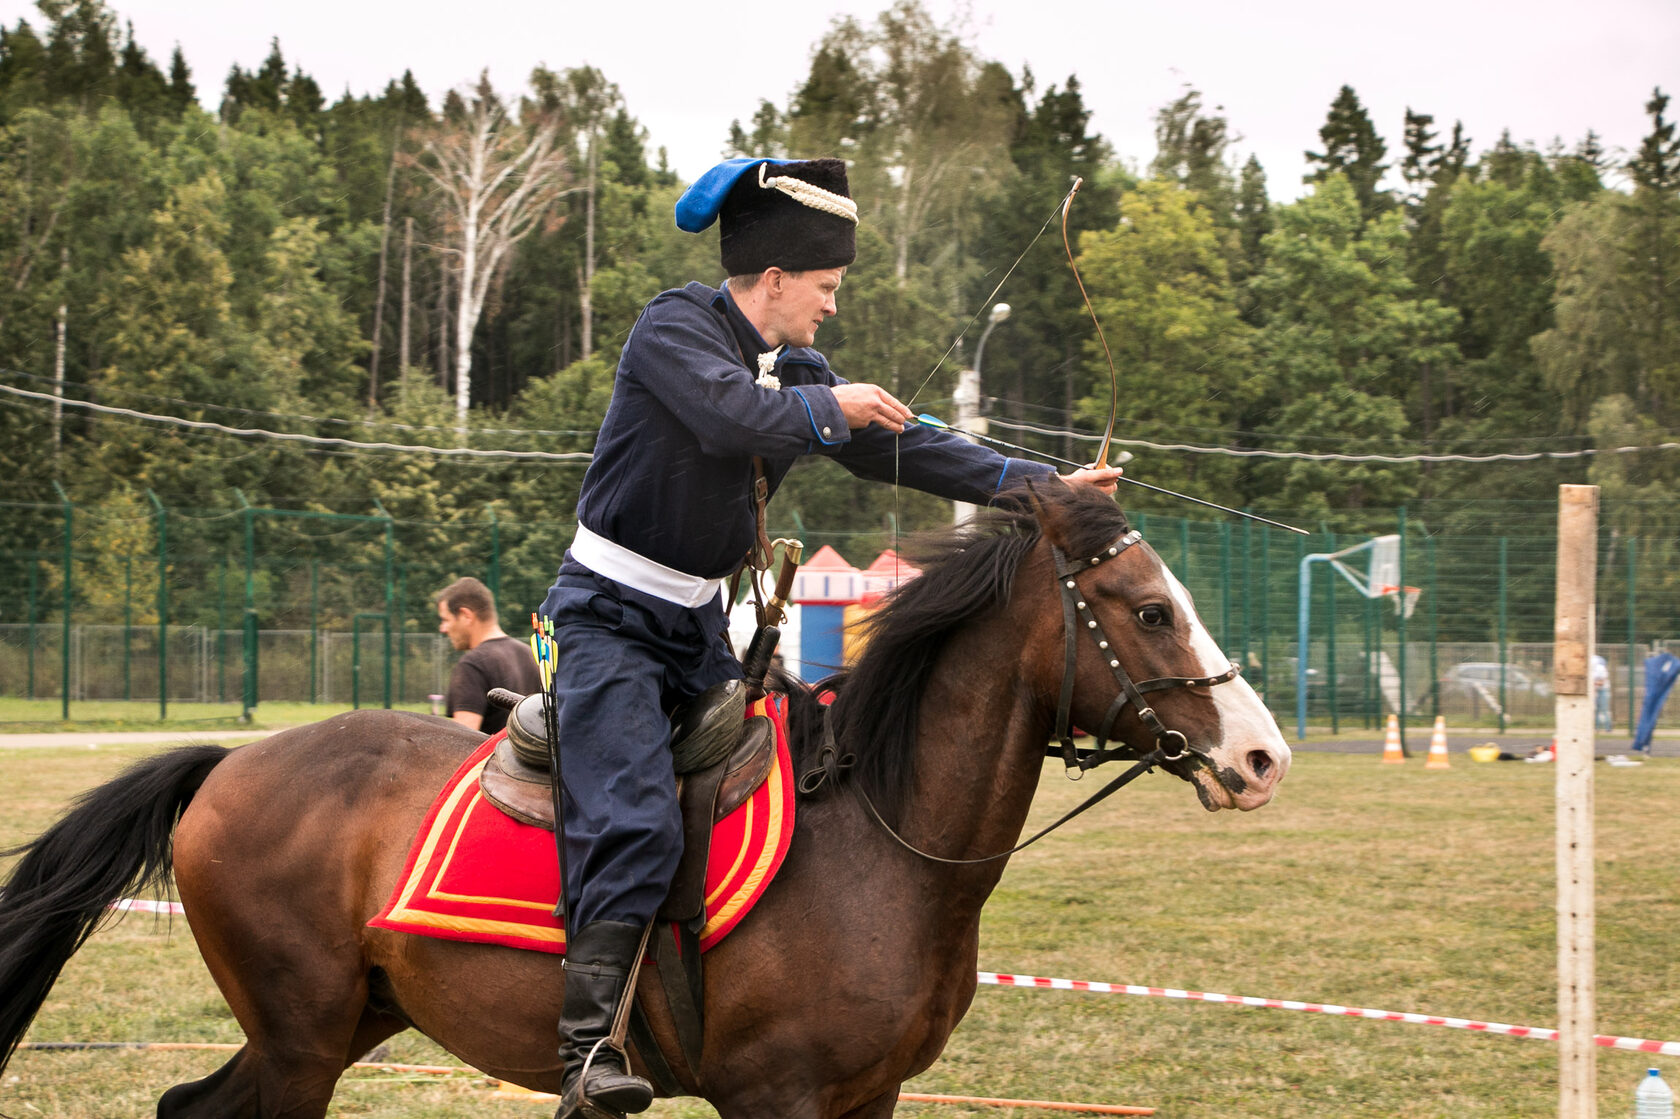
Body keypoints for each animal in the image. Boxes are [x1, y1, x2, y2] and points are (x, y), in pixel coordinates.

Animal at [0, 483, 1283, 1108]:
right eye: (1150, 609)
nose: (1263, 756)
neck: (881, 843)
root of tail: (229, 763)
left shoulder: (866, 1101)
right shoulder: (779, 1102)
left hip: (346, 1021)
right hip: (303, 1040)